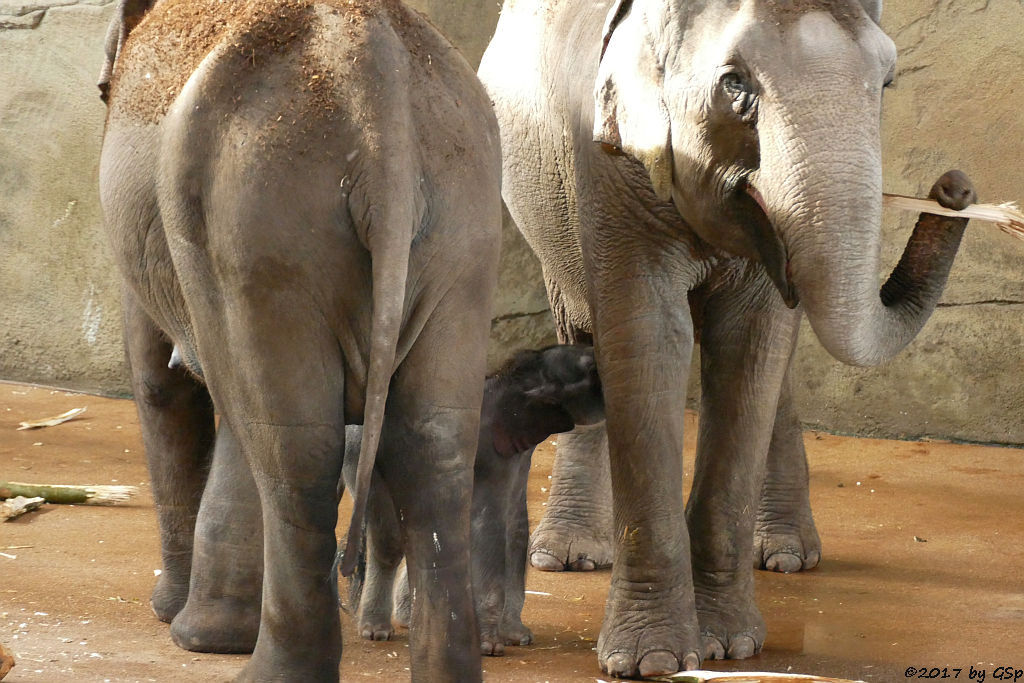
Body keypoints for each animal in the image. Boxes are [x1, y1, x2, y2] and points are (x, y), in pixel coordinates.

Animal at [97, 2, 505, 679]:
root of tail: (374, 78)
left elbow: (163, 385)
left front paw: (180, 625)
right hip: (464, 214)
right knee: (435, 446)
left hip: (259, 215)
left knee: (288, 445)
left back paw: (260, 668)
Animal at [344, 348, 602, 655]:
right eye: (591, 369)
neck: (513, 378)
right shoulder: (491, 450)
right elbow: (488, 527)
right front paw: (490, 647)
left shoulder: (518, 453)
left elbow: (515, 526)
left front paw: (517, 636)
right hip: (365, 458)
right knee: (389, 539)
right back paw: (376, 630)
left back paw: (412, 620)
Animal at [479, 0, 974, 675]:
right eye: (735, 85)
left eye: (887, 83)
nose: (954, 186)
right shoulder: (608, 163)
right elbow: (647, 337)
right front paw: (653, 662)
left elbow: (752, 344)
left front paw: (730, 646)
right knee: (580, 323)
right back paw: (569, 555)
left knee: (774, 365)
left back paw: (786, 555)